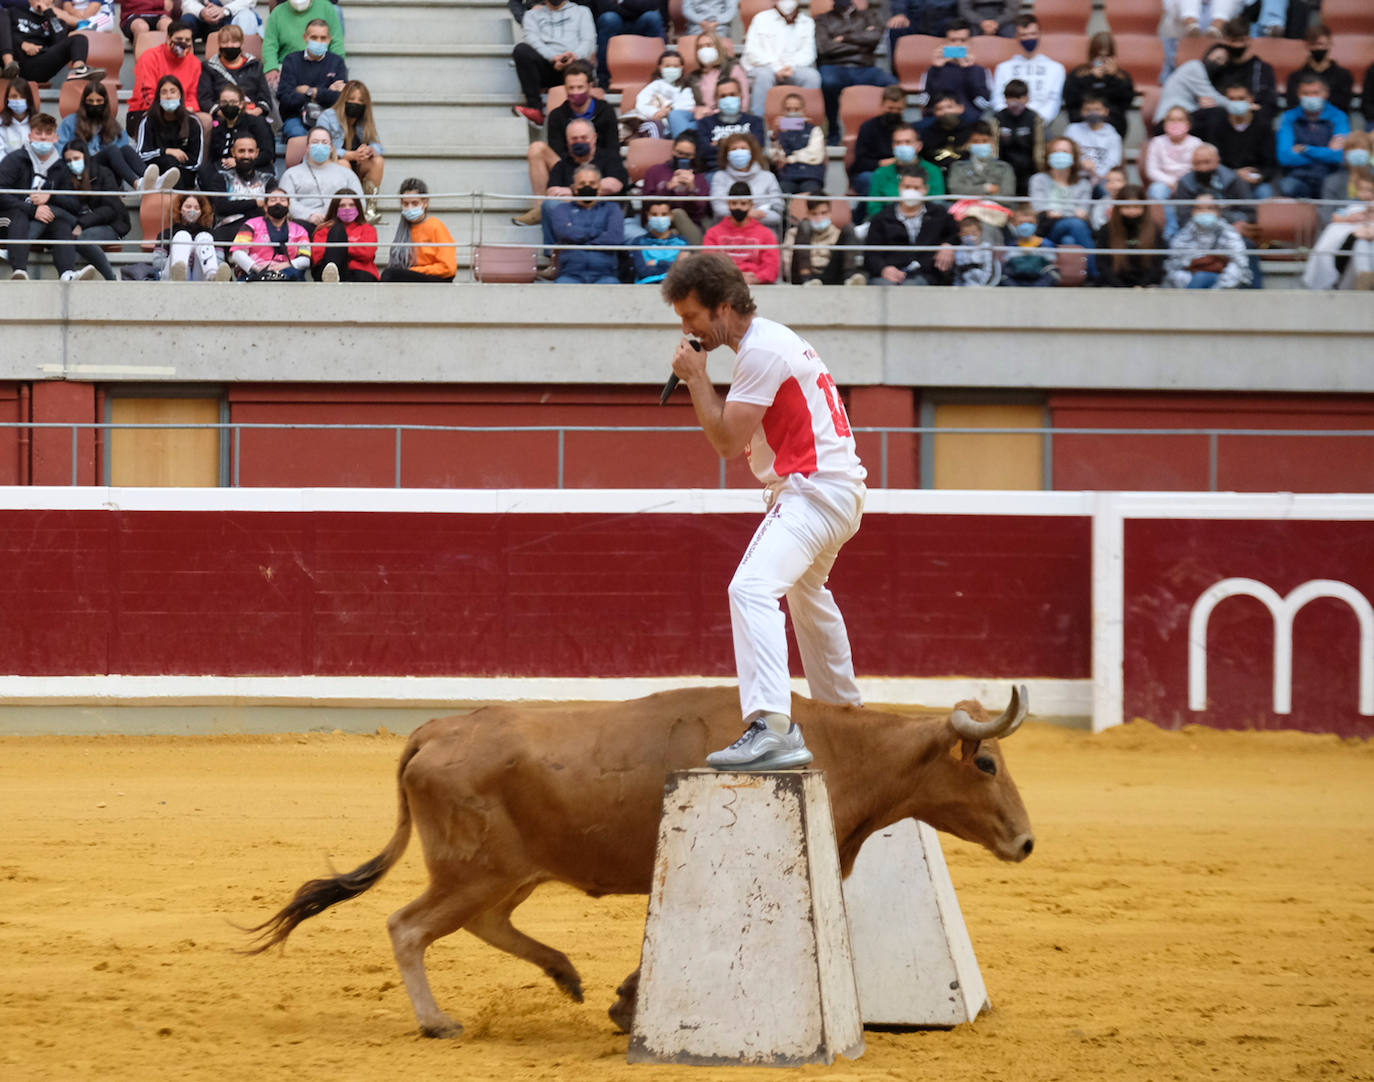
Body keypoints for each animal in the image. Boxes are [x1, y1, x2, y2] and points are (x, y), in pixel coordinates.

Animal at [247, 684, 1033, 1039]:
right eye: (986, 762)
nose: (1026, 841)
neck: (842, 748)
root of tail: (437, 728)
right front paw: (629, 1002)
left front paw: (625, 1001)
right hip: (474, 869)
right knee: (410, 927)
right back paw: (439, 1020)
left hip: (511, 872)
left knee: (485, 924)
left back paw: (565, 975)